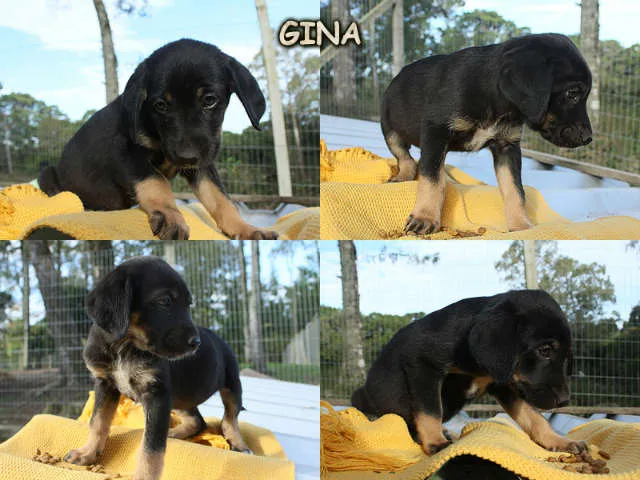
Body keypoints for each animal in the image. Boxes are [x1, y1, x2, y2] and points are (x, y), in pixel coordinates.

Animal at [39, 39, 277, 240]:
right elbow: (156, 181)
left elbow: (220, 198)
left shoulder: (202, 163)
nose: (186, 157)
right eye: (160, 105)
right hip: (47, 173)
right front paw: (169, 215)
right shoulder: (125, 152)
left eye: (209, 100)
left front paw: (246, 229)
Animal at [65, 256, 249, 480]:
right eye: (164, 301)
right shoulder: (105, 384)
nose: (196, 343)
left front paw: (144, 476)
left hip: (231, 384)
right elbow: (98, 422)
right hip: (179, 398)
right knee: (198, 421)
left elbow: (151, 447)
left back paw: (239, 444)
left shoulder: (157, 394)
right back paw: (174, 433)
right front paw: (87, 453)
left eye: (188, 304)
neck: (126, 345)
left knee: (230, 418)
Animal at [351, 290, 586, 456]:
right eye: (544, 351)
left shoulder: (504, 384)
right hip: (362, 395)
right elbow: (430, 410)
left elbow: (533, 417)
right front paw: (435, 442)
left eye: (568, 357)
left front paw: (558, 441)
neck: (474, 362)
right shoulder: (422, 366)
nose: (564, 401)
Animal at [381, 33, 592, 235]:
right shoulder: (436, 132)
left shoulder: (507, 146)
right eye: (572, 93)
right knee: (405, 157)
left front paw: (521, 226)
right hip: (389, 129)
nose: (588, 138)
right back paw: (403, 176)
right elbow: (432, 178)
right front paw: (425, 217)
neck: (495, 99)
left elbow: (515, 190)